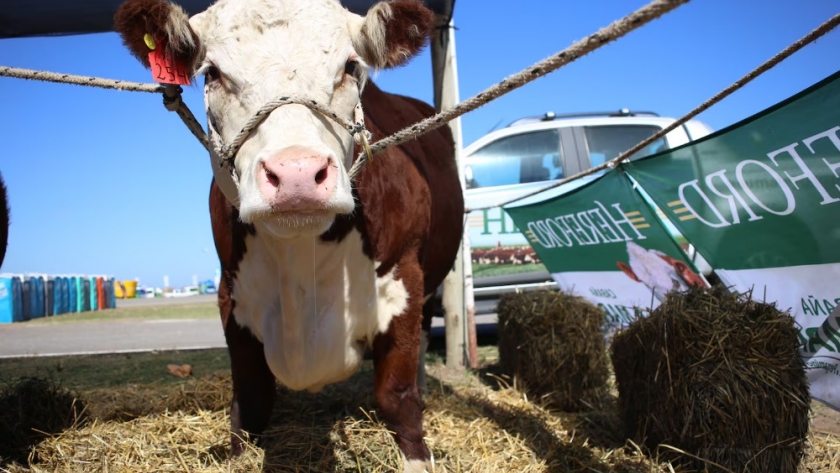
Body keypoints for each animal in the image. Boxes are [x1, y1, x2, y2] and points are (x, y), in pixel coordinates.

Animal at [114, 1, 462, 470]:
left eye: (351, 66)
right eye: (212, 74)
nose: (297, 174)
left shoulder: (404, 279)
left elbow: (397, 395)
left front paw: (416, 457)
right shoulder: (231, 296)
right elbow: (251, 401)